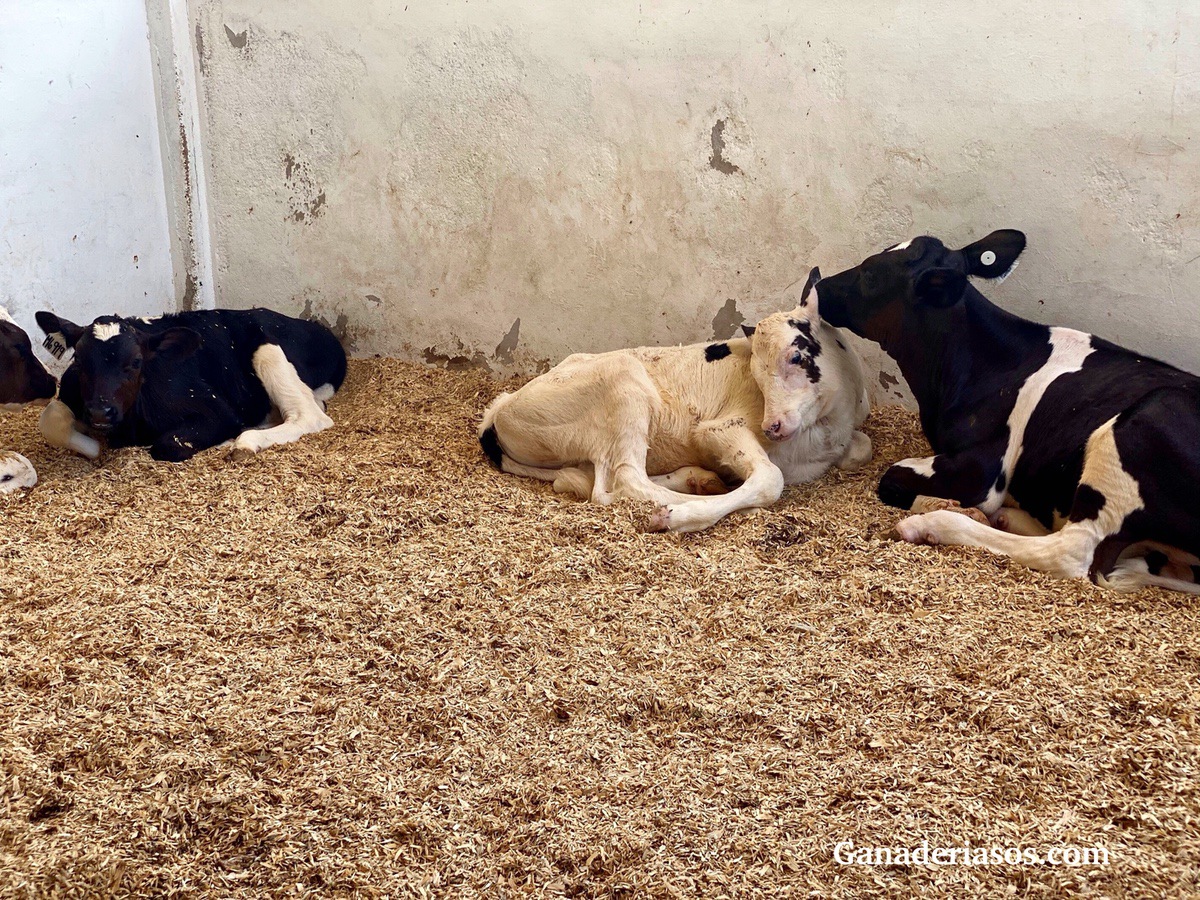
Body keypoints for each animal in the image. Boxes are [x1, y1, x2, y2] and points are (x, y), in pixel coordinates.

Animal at [32, 309, 350, 465]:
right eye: (79, 360)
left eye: (136, 361)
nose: (100, 412)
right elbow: (49, 420)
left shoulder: (218, 411)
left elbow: (169, 443)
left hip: (266, 350)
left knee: (309, 416)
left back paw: (246, 441)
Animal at [477, 267, 873, 535]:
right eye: (756, 376)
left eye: (796, 357)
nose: (771, 426)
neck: (826, 427)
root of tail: (499, 409)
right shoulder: (719, 428)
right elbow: (769, 480)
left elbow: (863, 447)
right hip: (623, 383)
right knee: (620, 482)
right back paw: (681, 506)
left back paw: (698, 479)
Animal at [816, 232, 1200, 595]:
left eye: (870, 273)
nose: (820, 286)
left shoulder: (983, 472)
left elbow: (891, 478)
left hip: (1138, 427)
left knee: (1070, 551)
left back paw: (933, 524)